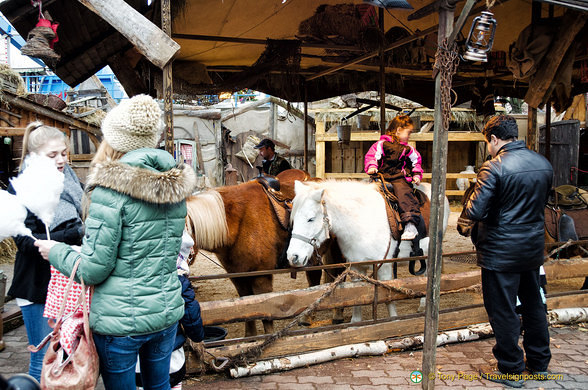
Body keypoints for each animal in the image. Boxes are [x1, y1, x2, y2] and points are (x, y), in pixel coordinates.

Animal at [186, 169, 328, 336]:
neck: (239, 222)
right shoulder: (238, 276)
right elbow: (247, 307)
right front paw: (250, 337)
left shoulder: (262, 276)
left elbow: (265, 312)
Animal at [288, 180, 448, 322]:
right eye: (293, 218)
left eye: (310, 219)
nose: (293, 256)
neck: (362, 223)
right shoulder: (356, 268)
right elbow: (357, 296)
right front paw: (355, 321)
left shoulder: (384, 267)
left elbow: (388, 297)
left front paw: (394, 320)